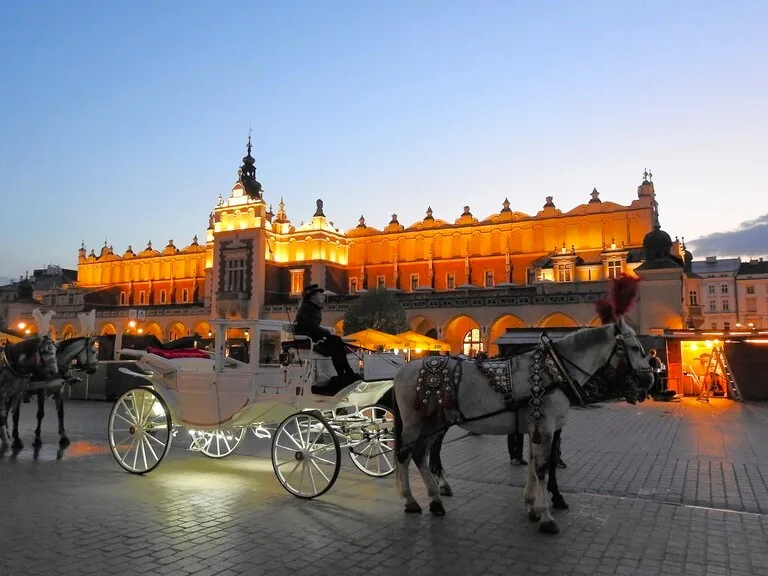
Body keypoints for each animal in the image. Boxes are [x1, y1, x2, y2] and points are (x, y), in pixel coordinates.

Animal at [391, 275, 654, 534]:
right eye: (634, 348)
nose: (649, 380)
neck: (554, 370)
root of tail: (402, 370)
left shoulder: (536, 427)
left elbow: (533, 467)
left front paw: (532, 507)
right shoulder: (545, 428)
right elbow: (543, 469)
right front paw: (547, 516)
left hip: (434, 421)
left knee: (420, 454)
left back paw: (435, 500)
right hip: (415, 421)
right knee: (405, 454)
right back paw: (411, 501)